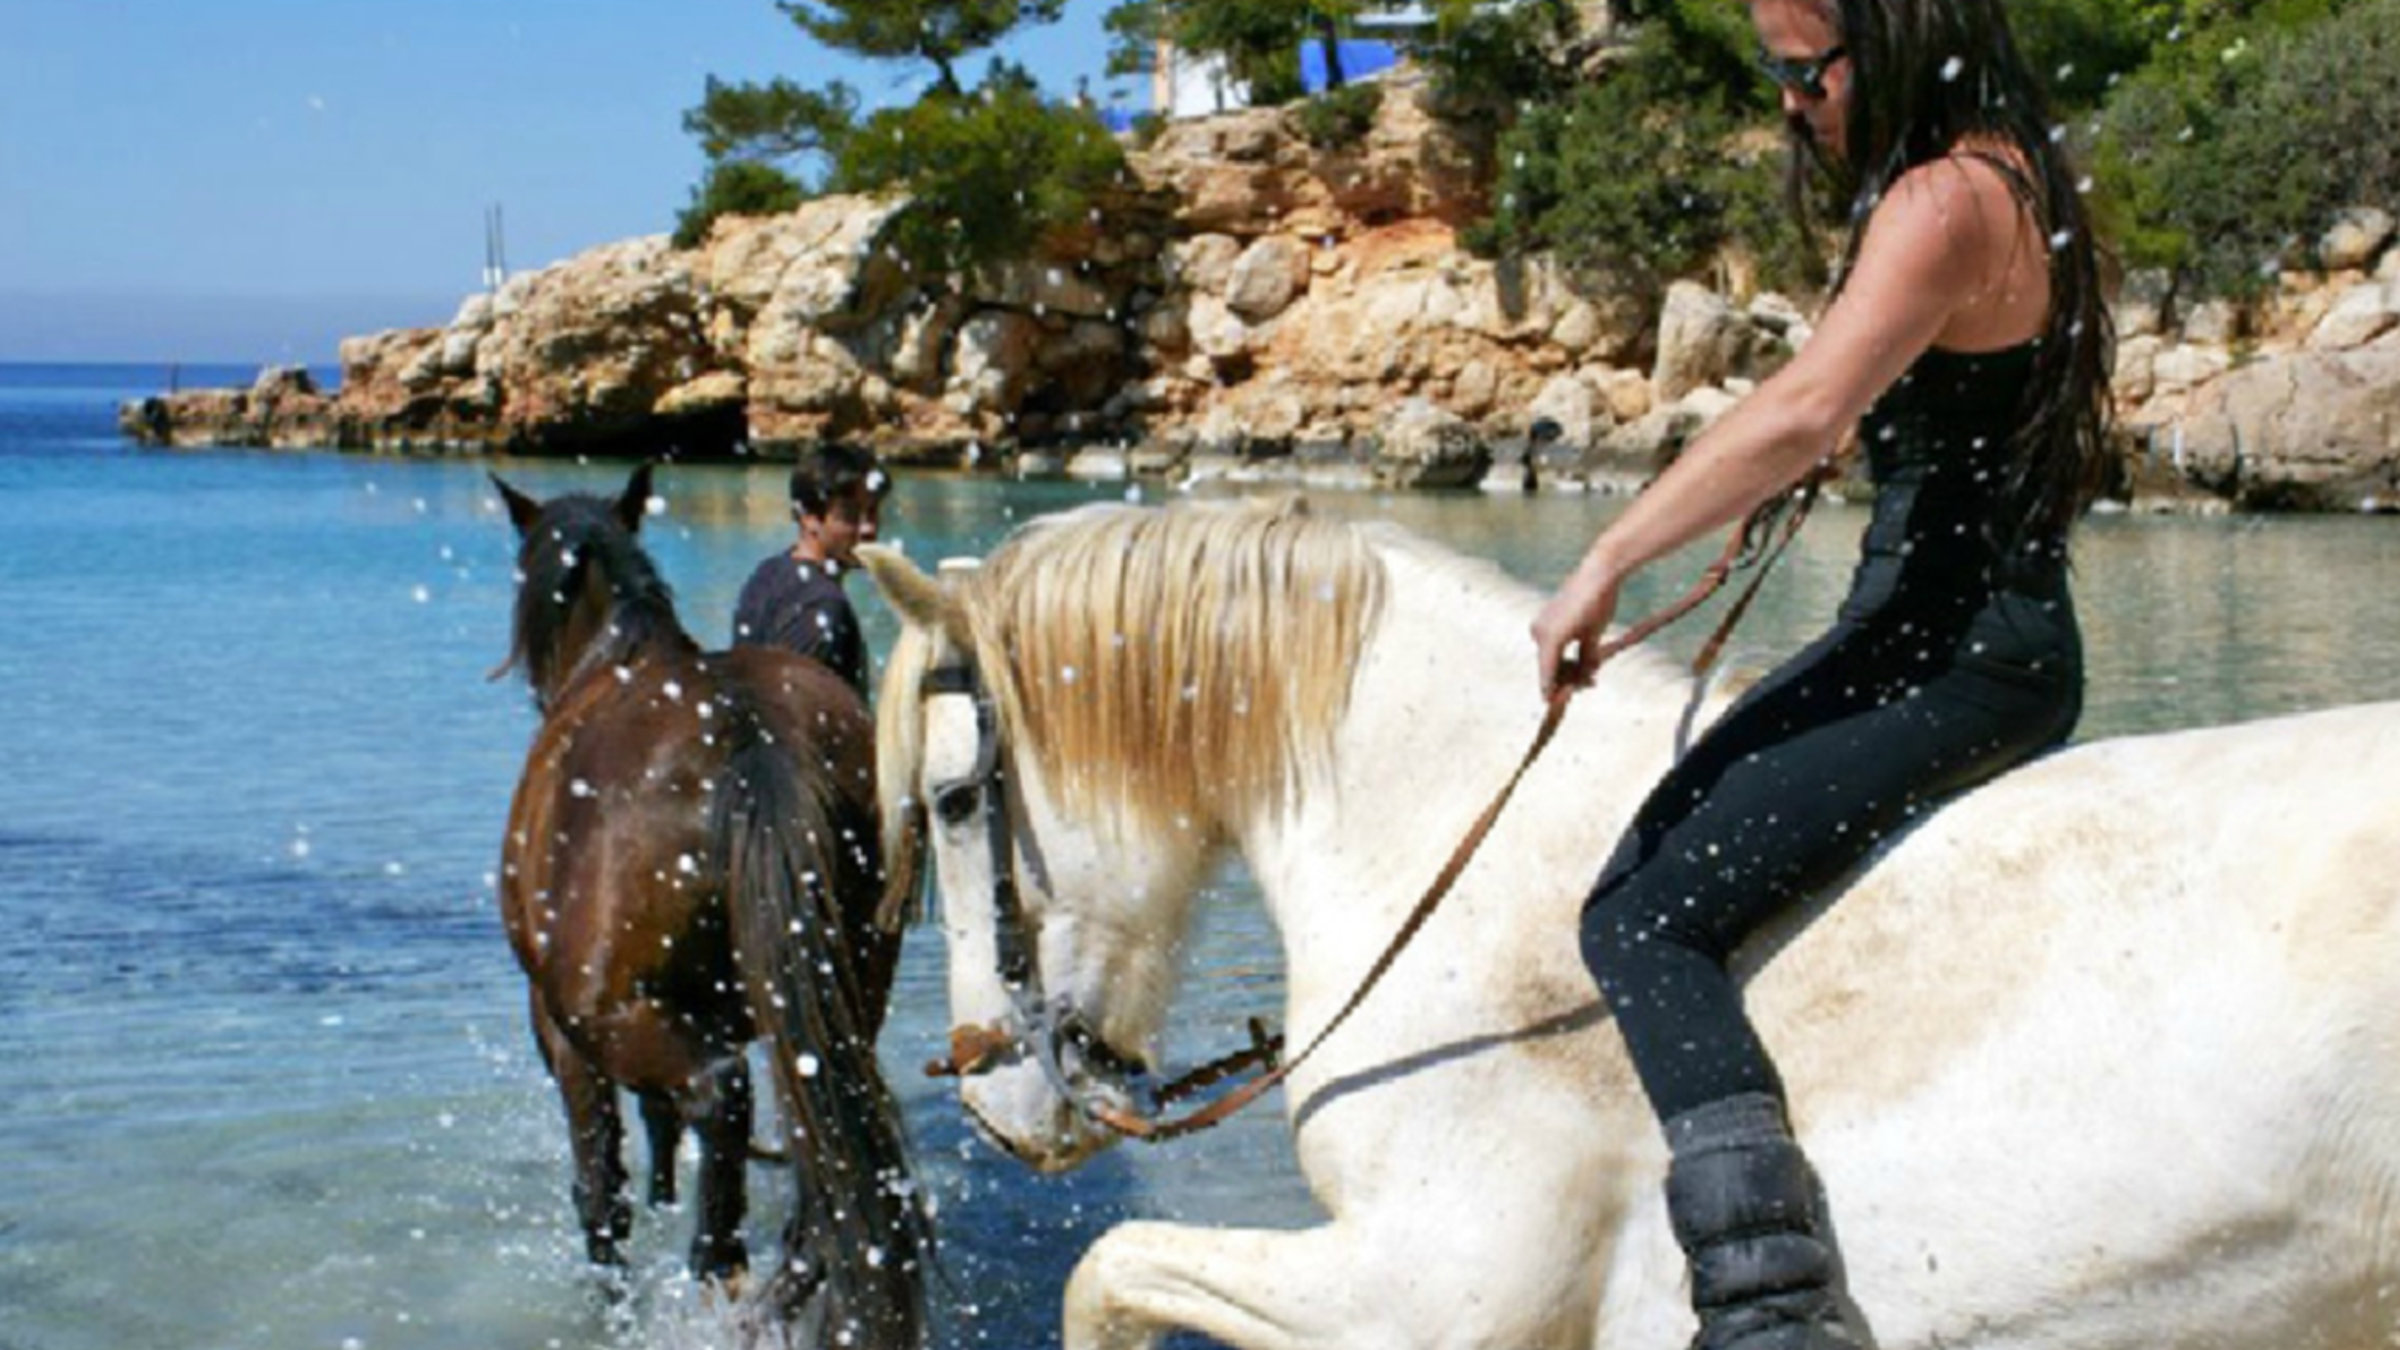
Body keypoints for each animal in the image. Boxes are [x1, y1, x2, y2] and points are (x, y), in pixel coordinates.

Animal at [489, 466, 926, 1345]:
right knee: (819, 1160)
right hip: (837, 1002)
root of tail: (748, 736)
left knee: (719, 1098)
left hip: (608, 1016)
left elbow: (602, 1189)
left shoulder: (560, 1032)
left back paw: (716, 1263)